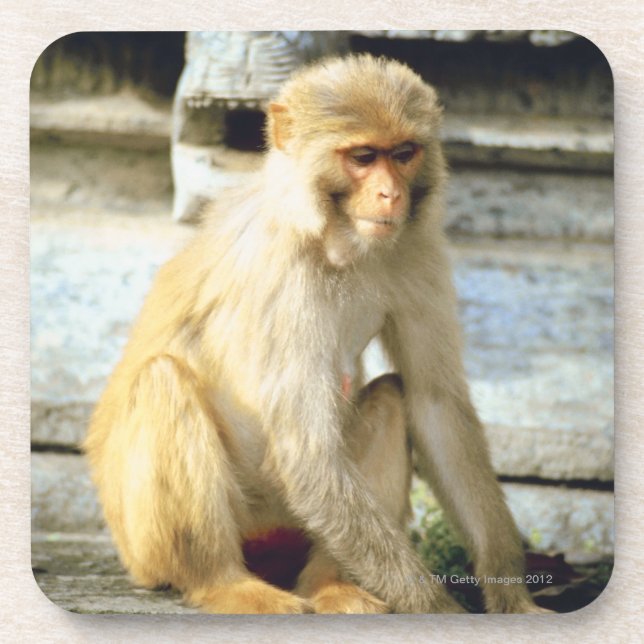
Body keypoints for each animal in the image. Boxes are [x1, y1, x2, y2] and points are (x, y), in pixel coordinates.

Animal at [85, 54, 544, 614]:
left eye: (404, 154)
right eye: (364, 157)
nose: (391, 193)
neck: (331, 237)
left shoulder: (416, 248)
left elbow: (435, 404)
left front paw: (512, 597)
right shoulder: (283, 275)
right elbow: (308, 454)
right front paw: (440, 610)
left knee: (392, 399)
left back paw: (328, 585)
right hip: (150, 545)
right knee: (162, 381)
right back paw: (225, 582)